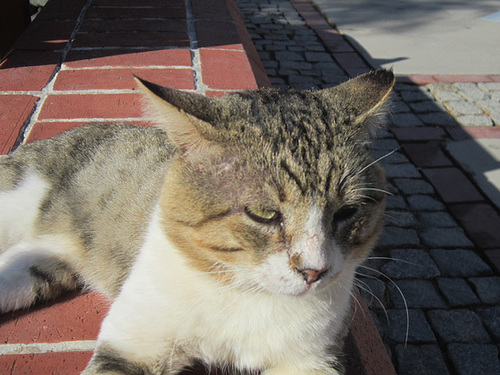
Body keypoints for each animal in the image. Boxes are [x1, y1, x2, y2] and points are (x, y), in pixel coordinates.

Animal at [0, 69, 394, 374]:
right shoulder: (131, 343)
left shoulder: (311, 359)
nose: (315, 270)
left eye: (347, 212)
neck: (245, 292)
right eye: (264, 213)